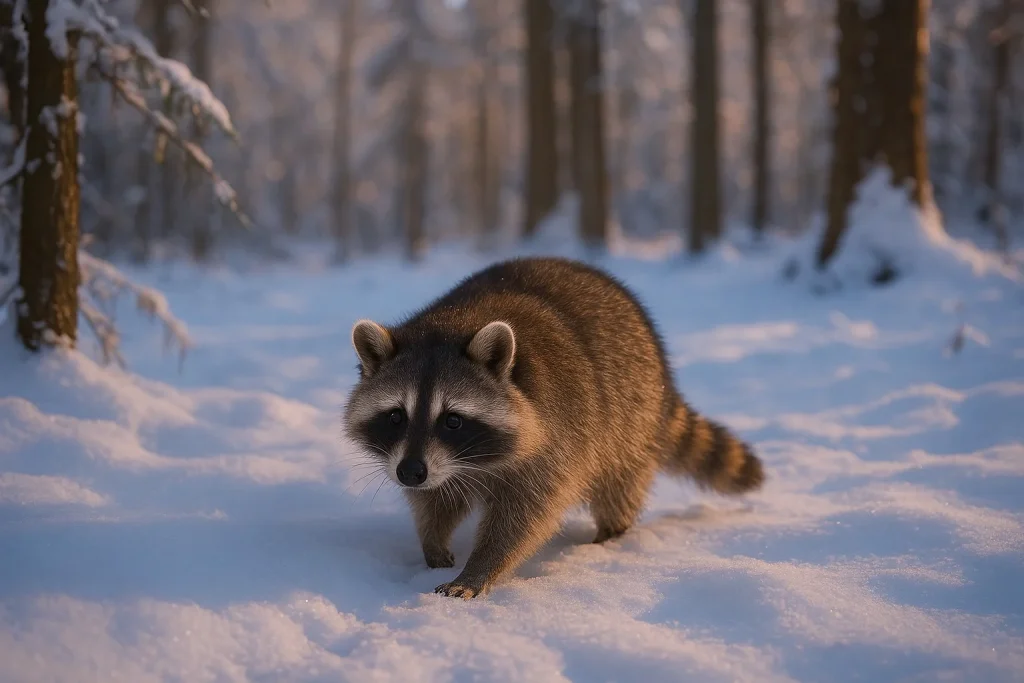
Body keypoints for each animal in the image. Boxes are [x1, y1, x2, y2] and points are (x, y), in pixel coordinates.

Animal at [343, 256, 765, 599]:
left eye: (453, 420)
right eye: (396, 416)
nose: (410, 473)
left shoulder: (558, 437)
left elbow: (526, 515)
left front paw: (479, 569)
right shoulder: (429, 463)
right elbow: (436, 499)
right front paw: (432, 542)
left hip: (632, 415)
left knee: (621, 483)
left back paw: (611, 535)